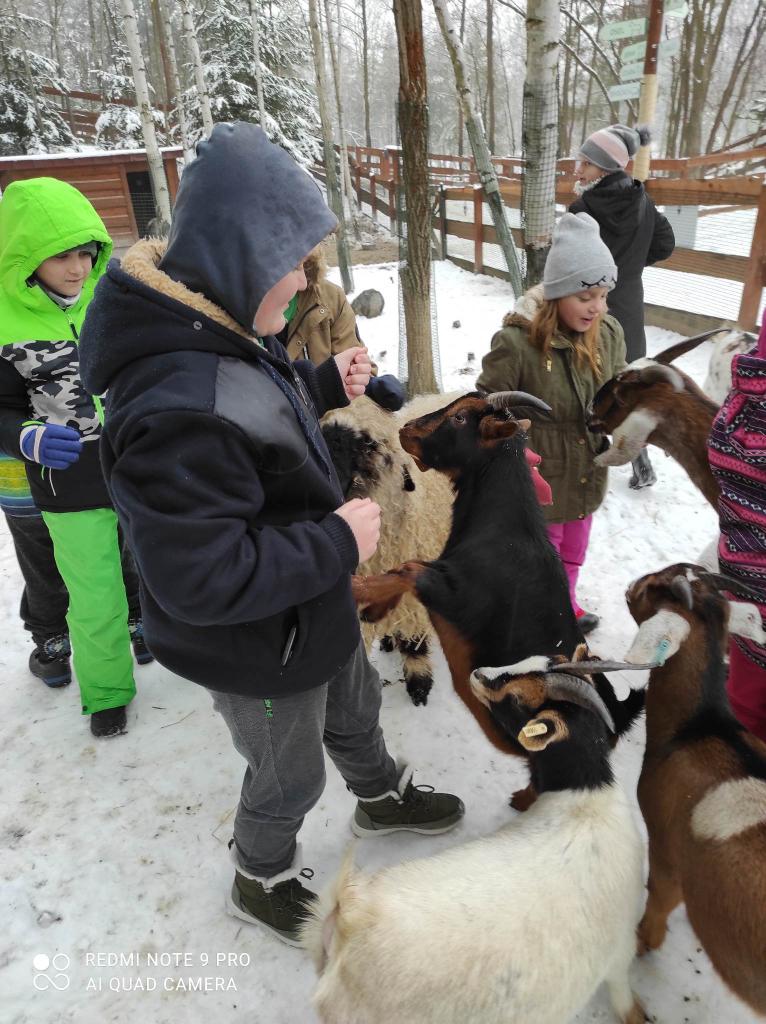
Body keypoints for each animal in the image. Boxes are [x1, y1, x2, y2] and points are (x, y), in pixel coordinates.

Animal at [301, 669, 646, 1024]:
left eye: (519, 698)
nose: (479, 674)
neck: (586, 795)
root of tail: (348, 919)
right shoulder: (621, 949)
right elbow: (622, 993)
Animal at [353, 391, 644, 807]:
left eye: (460, 418)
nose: (406, 430)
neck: (505, 527)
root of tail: (616, 720)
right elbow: (407, 569)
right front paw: (377, 608)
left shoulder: (456, 596)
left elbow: (410, 569)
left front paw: (364, 596)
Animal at [623, 562, 766, 1015]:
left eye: (653, 588)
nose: (630, 584)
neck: (699, 727)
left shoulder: (667, 849)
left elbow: (658, 902)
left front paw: (643, 941)